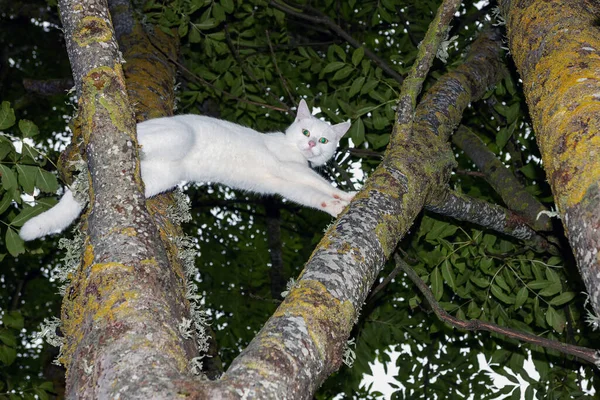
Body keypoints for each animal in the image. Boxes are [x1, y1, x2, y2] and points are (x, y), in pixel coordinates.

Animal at [18, 101, 356, 241]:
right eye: (306, 133)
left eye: (323, 140)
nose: (311, 145)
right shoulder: (290, 169)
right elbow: (321, 183)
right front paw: (349, 195)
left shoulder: (285, 184)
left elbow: (313, 197)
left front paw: (336, 207)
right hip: (178, 136)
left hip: (162, 176)